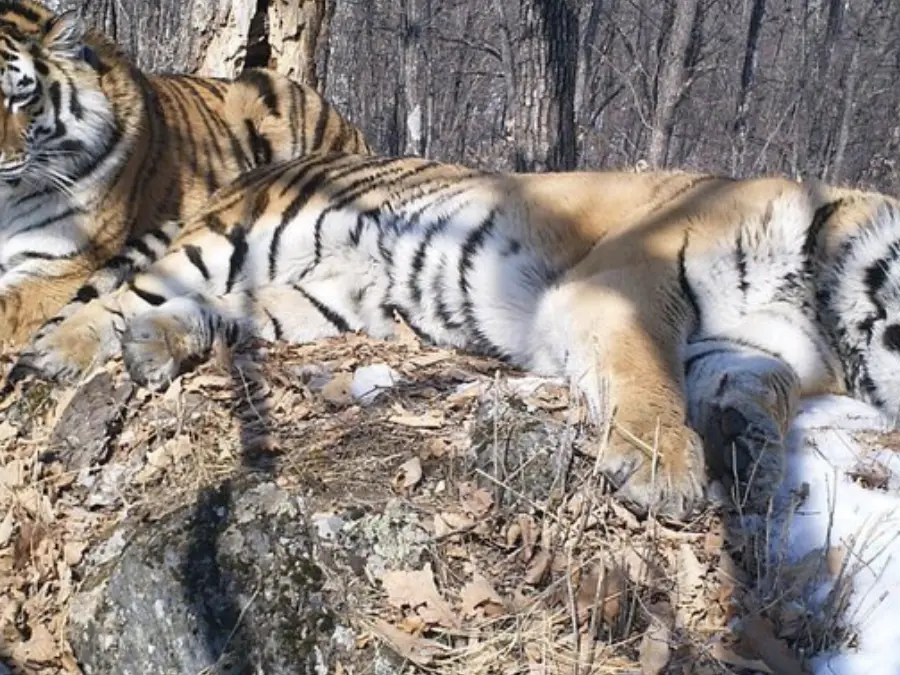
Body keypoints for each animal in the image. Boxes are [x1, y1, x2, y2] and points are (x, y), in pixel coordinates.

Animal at [9, 153, 900, 520]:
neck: (823, 300)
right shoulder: (627, 282)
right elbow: (648, 374)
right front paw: (662, 469)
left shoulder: (747, 347)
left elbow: (760, 389)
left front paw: (753, 451)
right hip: (243, 236)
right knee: (126, 291)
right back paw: (64, 352)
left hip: (320, 301)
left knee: (219, 312)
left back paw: (157, 344)